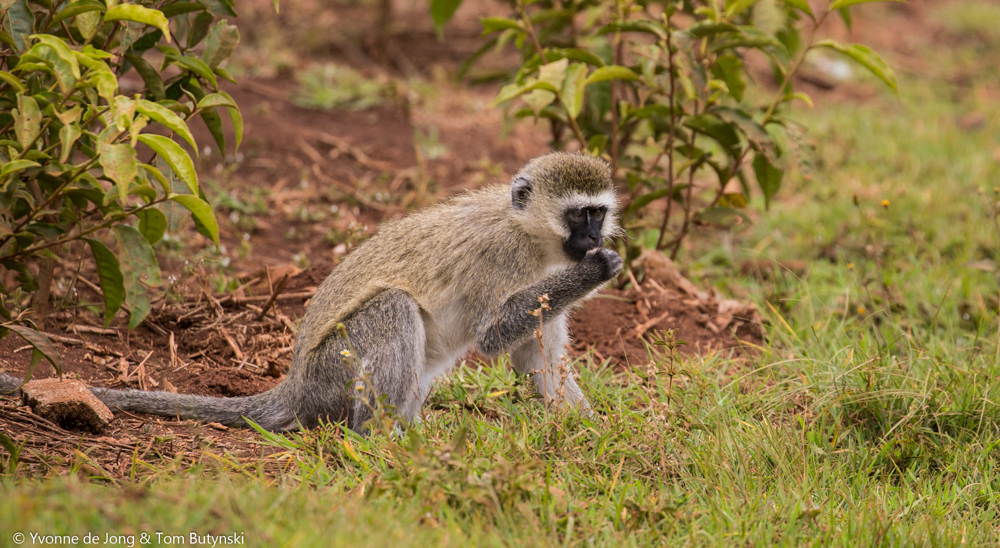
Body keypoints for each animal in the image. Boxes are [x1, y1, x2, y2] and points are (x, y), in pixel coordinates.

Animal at [0, 152, 623, 433]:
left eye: (598, 212)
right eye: (580, 216)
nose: (595, 237)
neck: (532, 235)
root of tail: (297, 386)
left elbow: (536, 360)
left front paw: (592, 433)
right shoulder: (503, 257)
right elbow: (494, 336)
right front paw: (600, 270)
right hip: (332, 374)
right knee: (394, 308)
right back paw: (381, 439)